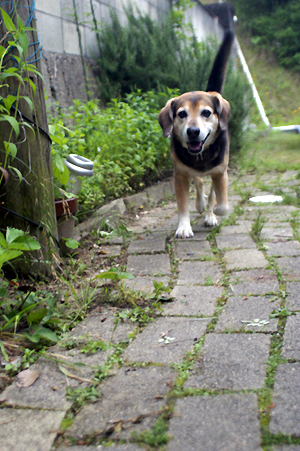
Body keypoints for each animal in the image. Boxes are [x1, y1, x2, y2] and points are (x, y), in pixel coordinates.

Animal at [158, 30, 236, 240]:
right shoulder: (180, 176)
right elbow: (183, 205)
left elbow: (222, 203)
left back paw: (208, 212)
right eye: (181, 114)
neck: (201, 156)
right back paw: (200, 204)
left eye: (206, 113)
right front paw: (184, 227)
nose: (193, 131)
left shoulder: (220, 173)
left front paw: (214, 212)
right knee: (199, 182)